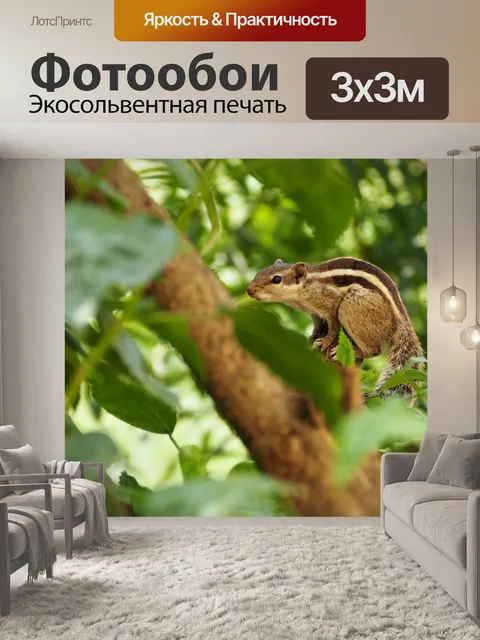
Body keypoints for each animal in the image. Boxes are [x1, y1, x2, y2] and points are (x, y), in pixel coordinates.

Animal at [246, 257, 424, 397]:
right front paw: (313, 336)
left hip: (351, 305)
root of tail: (401, 322)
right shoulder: (314, 312)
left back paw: (353, 350)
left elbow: (333, 326)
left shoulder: (331, 304)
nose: (249, 290)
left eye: (276, 279)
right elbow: (318, 323)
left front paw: (324, 342)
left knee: (374, 350)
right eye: (260, 272)